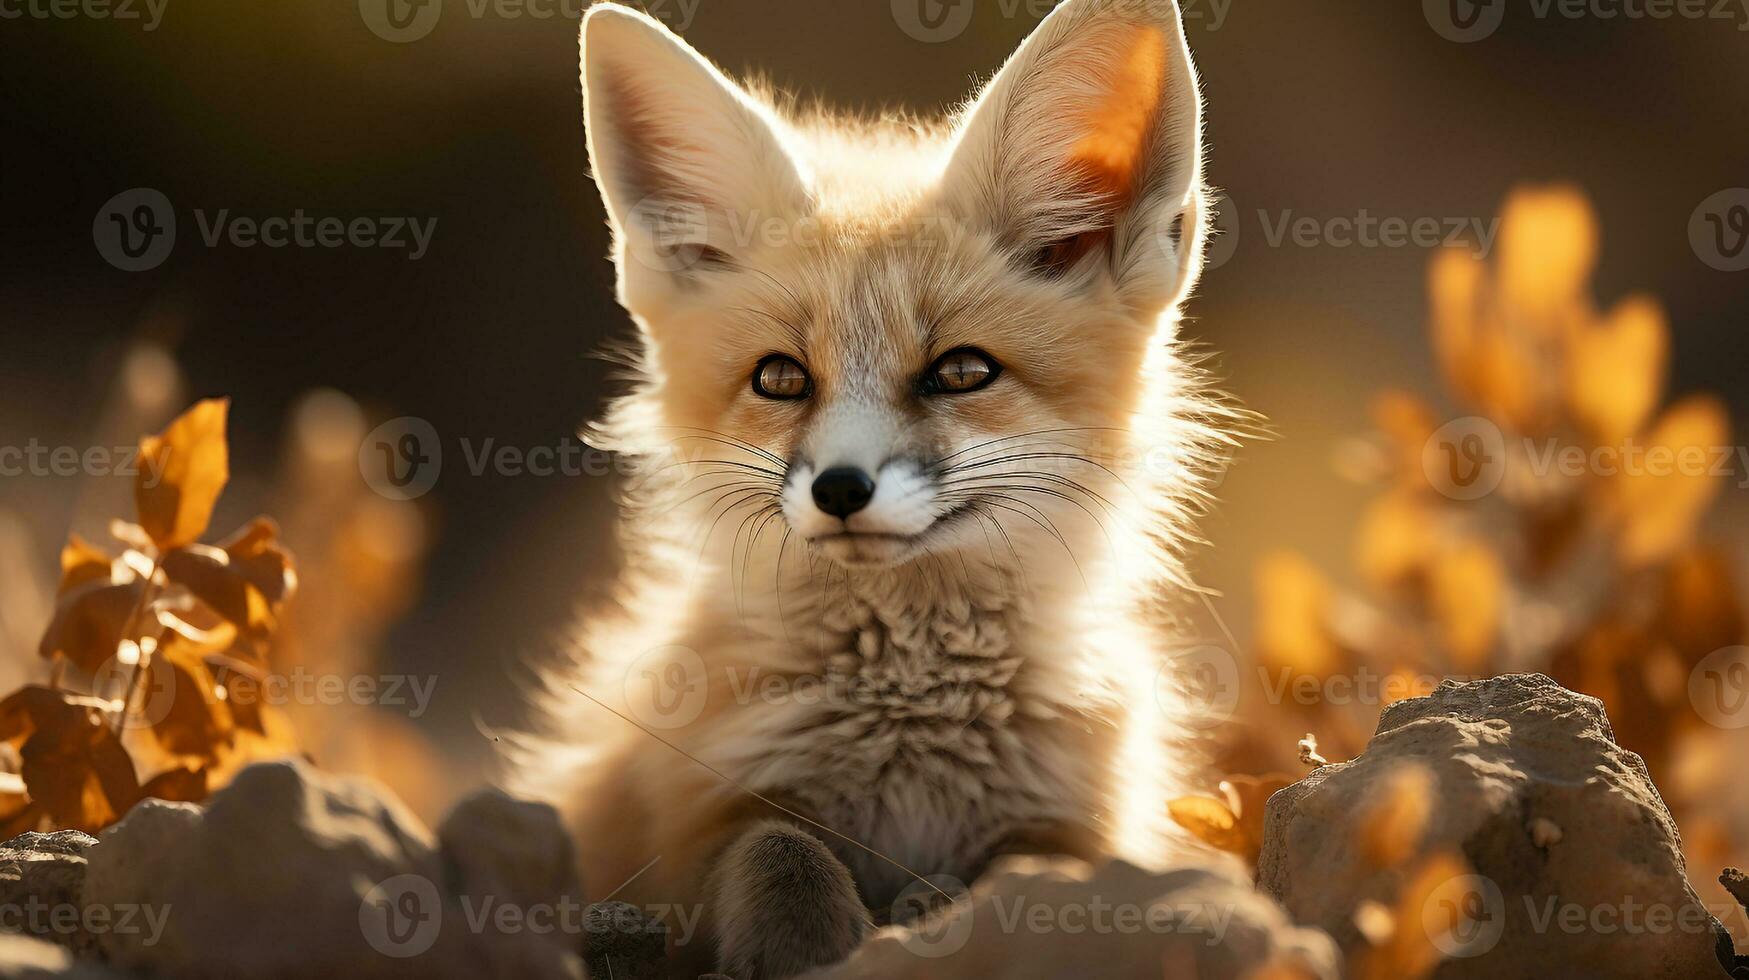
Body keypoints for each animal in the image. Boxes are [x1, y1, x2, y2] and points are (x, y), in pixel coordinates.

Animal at [510, 3, 1238, 973]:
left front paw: (932, 913)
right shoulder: (681, 823)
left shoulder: (1081, 831)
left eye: (961, 371)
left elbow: (1016, 875)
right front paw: (805, 939)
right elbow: (776, 844)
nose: (841, 489)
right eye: (780, 378)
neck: (909, 716)